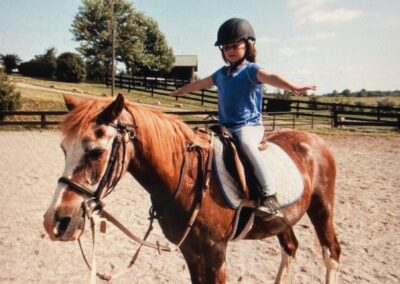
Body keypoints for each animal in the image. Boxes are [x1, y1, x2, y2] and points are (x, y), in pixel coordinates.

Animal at [45, 94, 342, 282]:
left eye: (96, 151)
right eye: (63, 149)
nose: (55, 221)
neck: (190, 179)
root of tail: (315, 140)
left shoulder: (215, 252)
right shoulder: (191, 251)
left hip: (322, 209)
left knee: (332, 254)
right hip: (284, 220)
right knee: (290, 249)